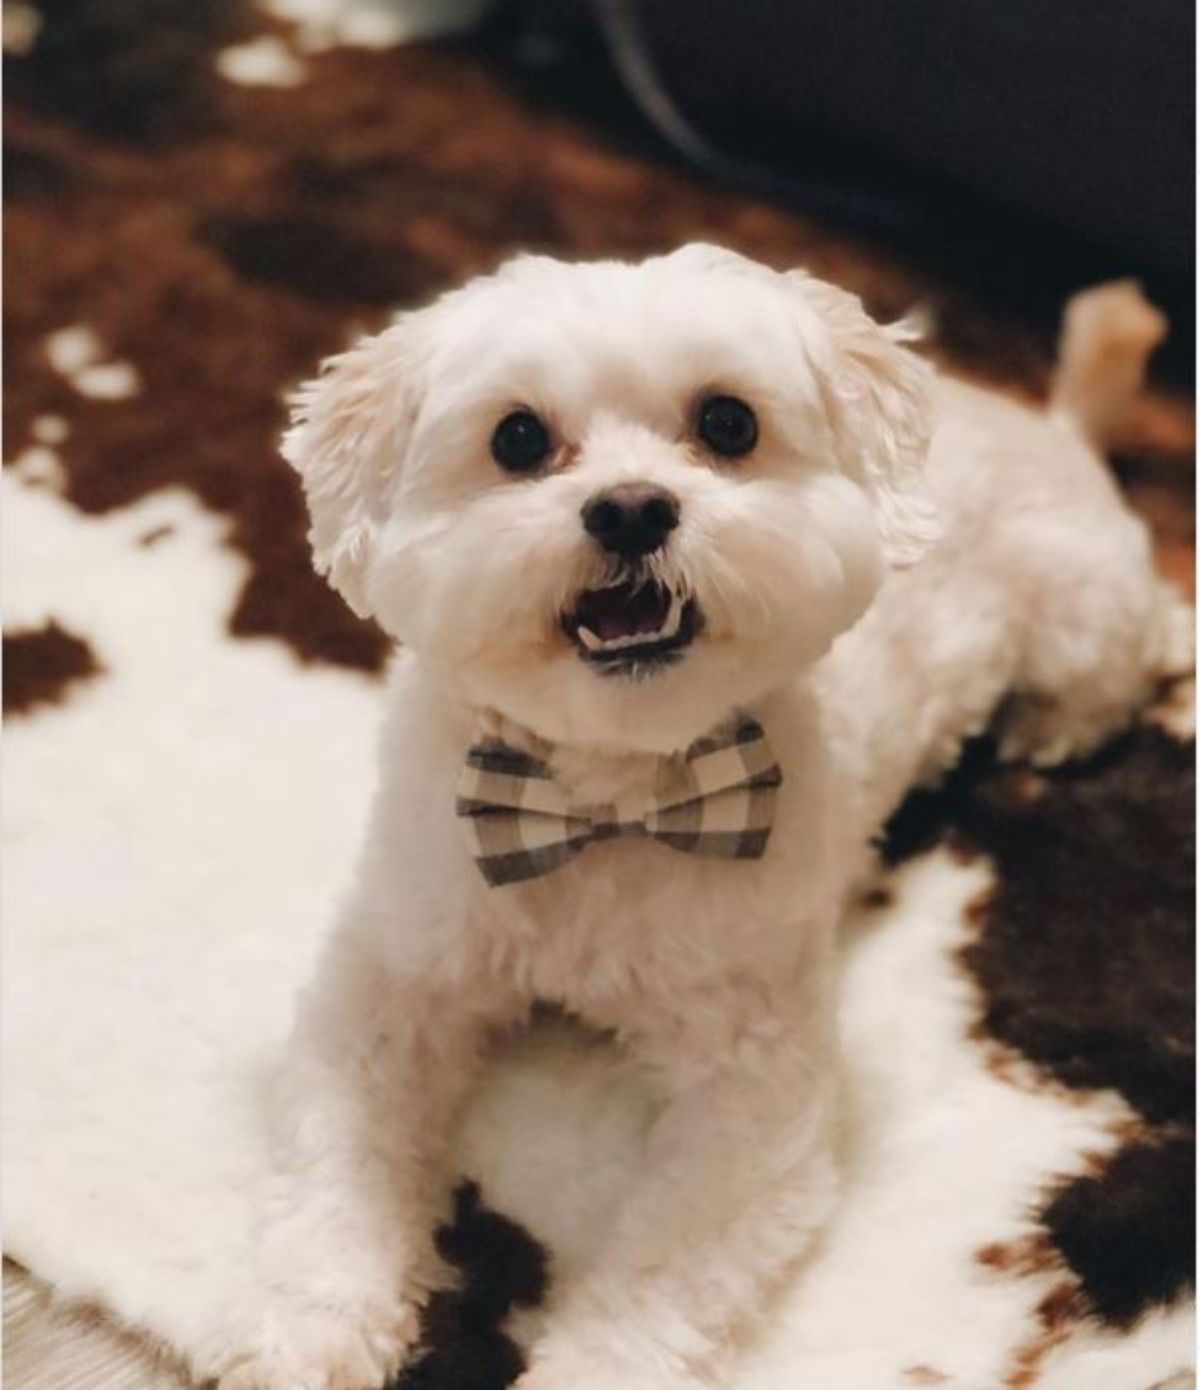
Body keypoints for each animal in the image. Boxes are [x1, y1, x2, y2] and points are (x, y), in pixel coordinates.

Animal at [211, 247, 1184, 1390]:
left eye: (727, 423)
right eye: (518, 438)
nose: (632, 508)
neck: (605, 800)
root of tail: (1054, 425)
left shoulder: (751, 1099)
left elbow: (651, 1295)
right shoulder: (394, 985)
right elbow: (342, 1174)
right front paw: (310, 1327)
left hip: (1084, 619)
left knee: (1133, 656)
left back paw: (1053, 730)